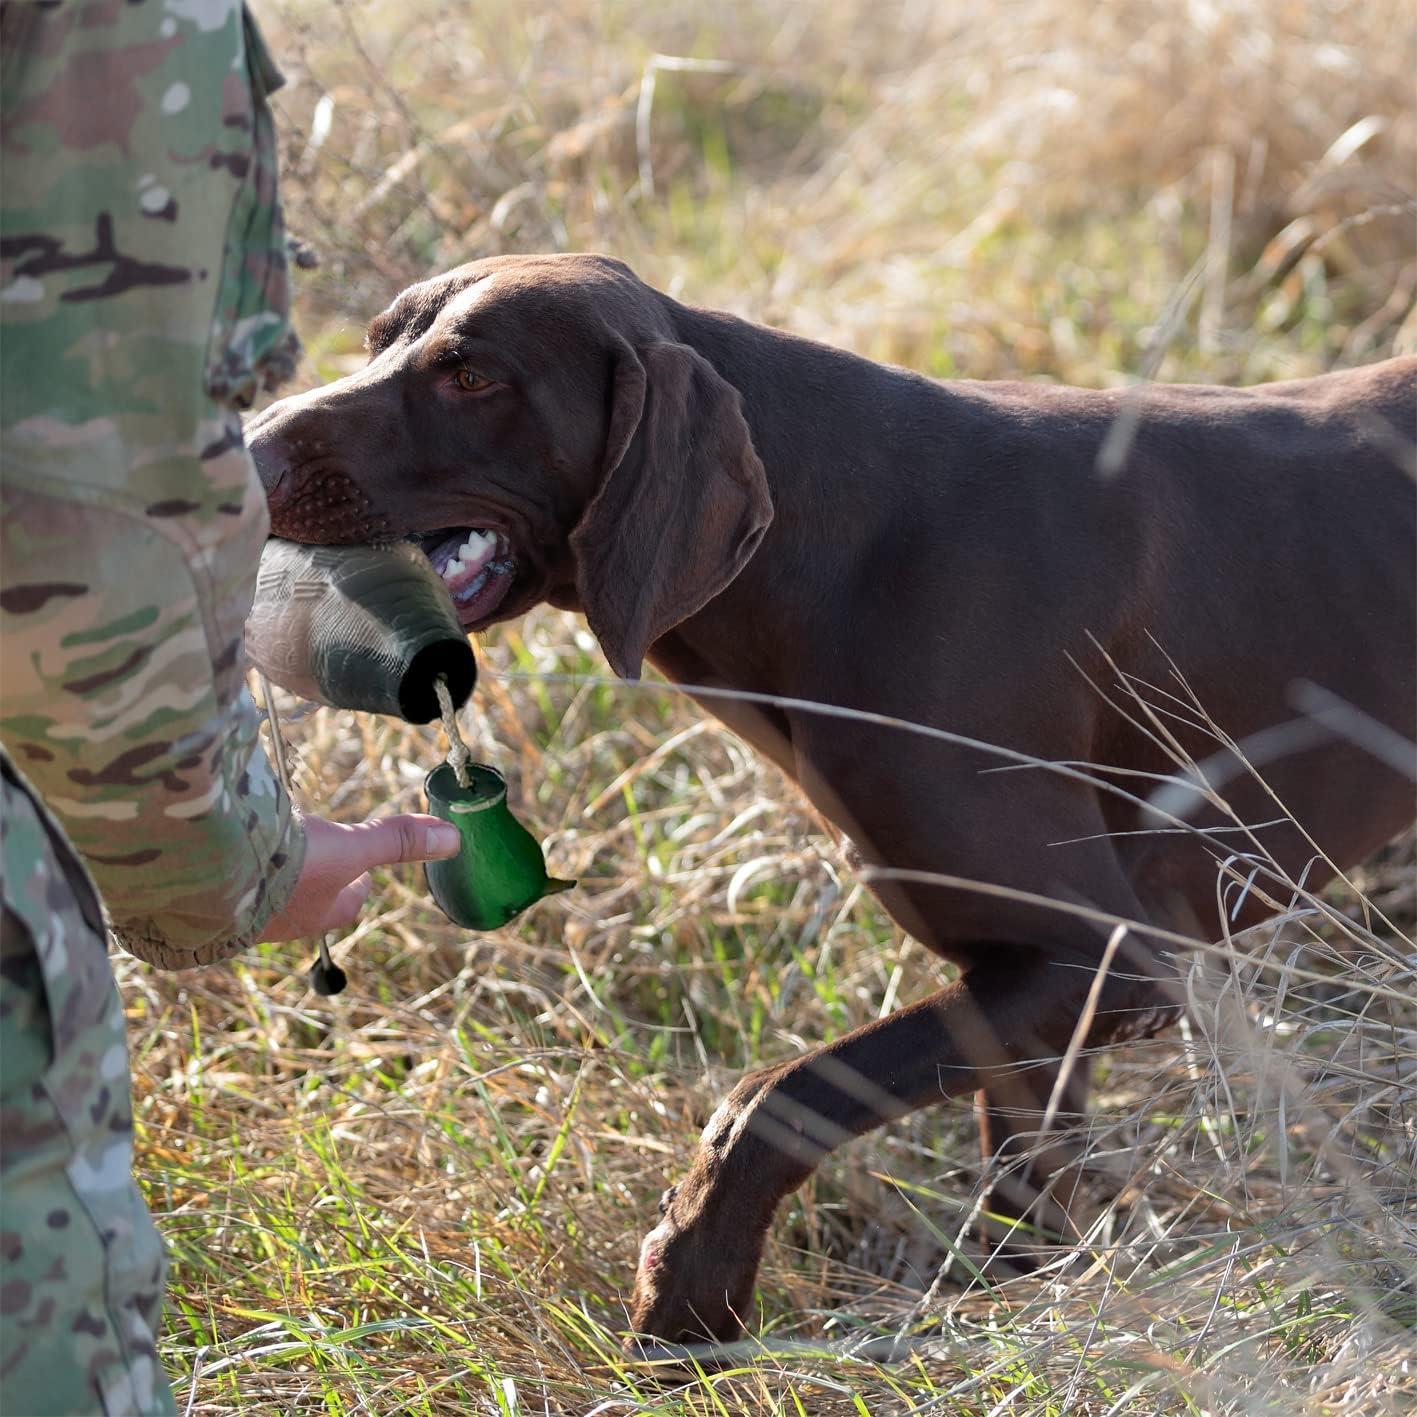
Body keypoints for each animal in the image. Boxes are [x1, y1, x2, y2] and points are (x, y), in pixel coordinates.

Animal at [243, 255, 1417, 1348]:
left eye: (472, 375)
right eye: (377, 341)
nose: (245, 450)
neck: (842, 549)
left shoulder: (1113, 957)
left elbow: (772, 1097)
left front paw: (688, 1291)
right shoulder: (1028, 991)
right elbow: (1020, 1186)